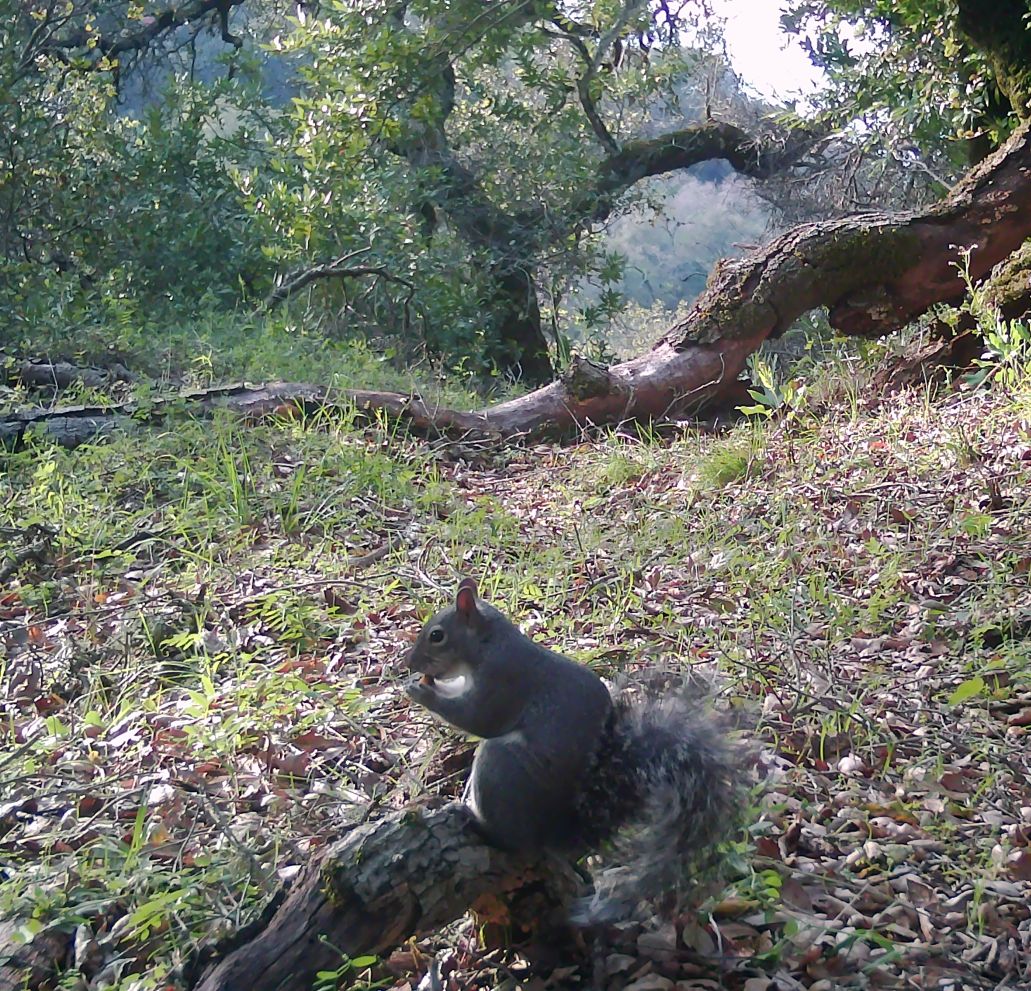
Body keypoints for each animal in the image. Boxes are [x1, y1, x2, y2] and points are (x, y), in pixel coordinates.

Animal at [403, 578, 745, 918]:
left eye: (437, 635)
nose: (409, 663)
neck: (488, 643)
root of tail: (556, 832)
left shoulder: (503, 679)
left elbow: (479, 717)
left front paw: (420, 691)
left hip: (502, 765)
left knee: (513, 841)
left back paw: (476, 821)